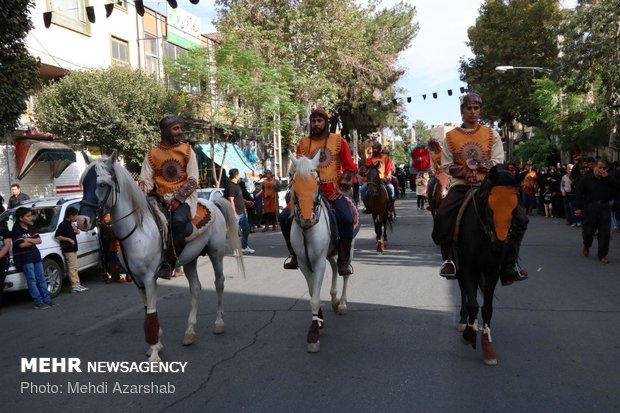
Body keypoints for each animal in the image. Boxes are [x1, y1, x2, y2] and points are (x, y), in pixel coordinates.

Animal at [76, 151, 243, 360]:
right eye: (84, 183)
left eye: (102, 184)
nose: (82, 221)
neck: (137, 230)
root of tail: (213, 202)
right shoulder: (137, 279)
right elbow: (148, 310)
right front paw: (155, 343)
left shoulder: (149, 278)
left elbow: (151, 311)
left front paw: (155, 351)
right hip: (190, 259)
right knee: (195, 288)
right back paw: (189, 332)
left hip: (216, 253)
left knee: (219, 283)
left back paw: (219, 323)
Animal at [290, 153, 352, 352]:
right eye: (294, 183)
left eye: (316, 183)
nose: (307, 219)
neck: (307, 230)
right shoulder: (304, 264)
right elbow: (312, 294)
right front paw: (319, 322)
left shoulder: (318, 263)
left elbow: (315, 298)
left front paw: (314, 334)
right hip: (330, 252)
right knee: (335, 267)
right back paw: (334, 299)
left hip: (348, 247)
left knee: (344, 271)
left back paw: (342, 303)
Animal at [456, 164, 520, 364]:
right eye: (490, 207)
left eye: (515, 209)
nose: (500, 246)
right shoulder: (467, 267)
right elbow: (473, 304)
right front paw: (468, 335)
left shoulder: (492, 271)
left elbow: (487, 309)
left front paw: (487, 347)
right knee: (464, 290)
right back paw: (465, 322)